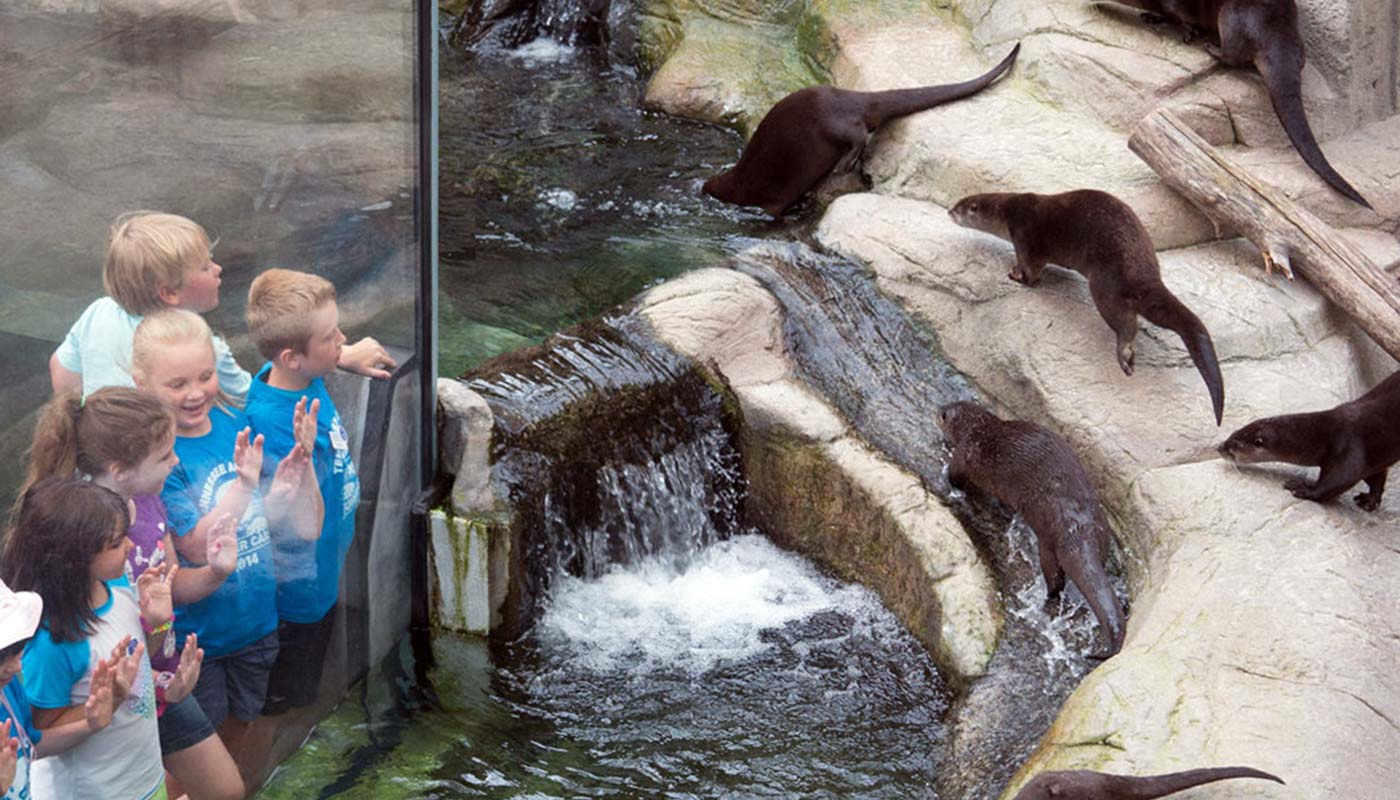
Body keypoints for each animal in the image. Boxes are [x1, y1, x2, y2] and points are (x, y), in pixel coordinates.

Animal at [700, 40, 1019, 215]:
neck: (738, 184)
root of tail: (847, 97)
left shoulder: (770, 199)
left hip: (829, 122)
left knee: (857, 134)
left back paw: (844, 164)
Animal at [940, 400, 1125, 658]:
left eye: (941, 414)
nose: (937, 410)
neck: (977, 429)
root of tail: (1080, 529)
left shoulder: (964, 454)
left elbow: (955, 476)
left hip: (1048, 540)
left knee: (1054, 577)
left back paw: (1047, 598)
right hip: (1102, 531)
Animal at [952, 189, 1226, 425]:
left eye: (961, 207)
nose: (950, 212)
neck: (1009, 211)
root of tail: (1145, 275)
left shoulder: (1024, 237)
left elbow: (1031, 270)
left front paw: (1016, 275)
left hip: (1105, 285)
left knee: (1125, 323)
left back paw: (1124, 355)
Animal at [1108, 0, 1372, 210]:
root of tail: (1274, 35)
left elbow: (1180, 16)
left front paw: (1184, 30)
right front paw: (1152, 16)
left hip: (1231, 16)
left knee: (1232, 55)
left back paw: (1211, 47)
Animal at [1215, 367, 1400, 507]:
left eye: (1233, 445)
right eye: (1231, 435)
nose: (1220, 446)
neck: (1323, 434)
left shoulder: (1348, 445)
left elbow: (1340, 479)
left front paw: (1304, 488)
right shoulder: (1375, 456)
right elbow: (1376, 477)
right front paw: (1370, 500)